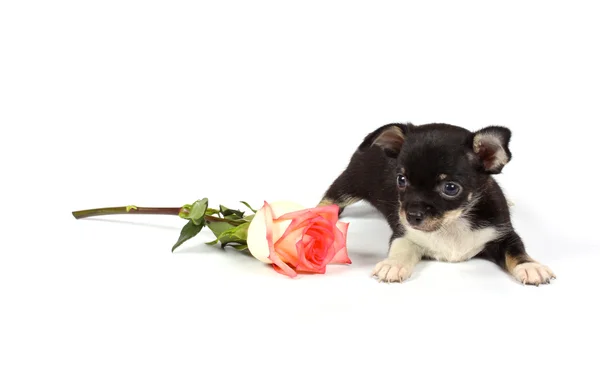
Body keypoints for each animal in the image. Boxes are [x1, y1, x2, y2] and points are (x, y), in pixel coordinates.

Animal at [322, 122, 556, 286]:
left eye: (450, 188)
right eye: (401, 180)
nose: (412, 215)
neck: (452, 224)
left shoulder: (503, 234)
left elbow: (516, 251)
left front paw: (530, 266)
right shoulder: (404, 234)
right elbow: (401, 248)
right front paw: (393, 264)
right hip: (349, 182)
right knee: (330, 198)